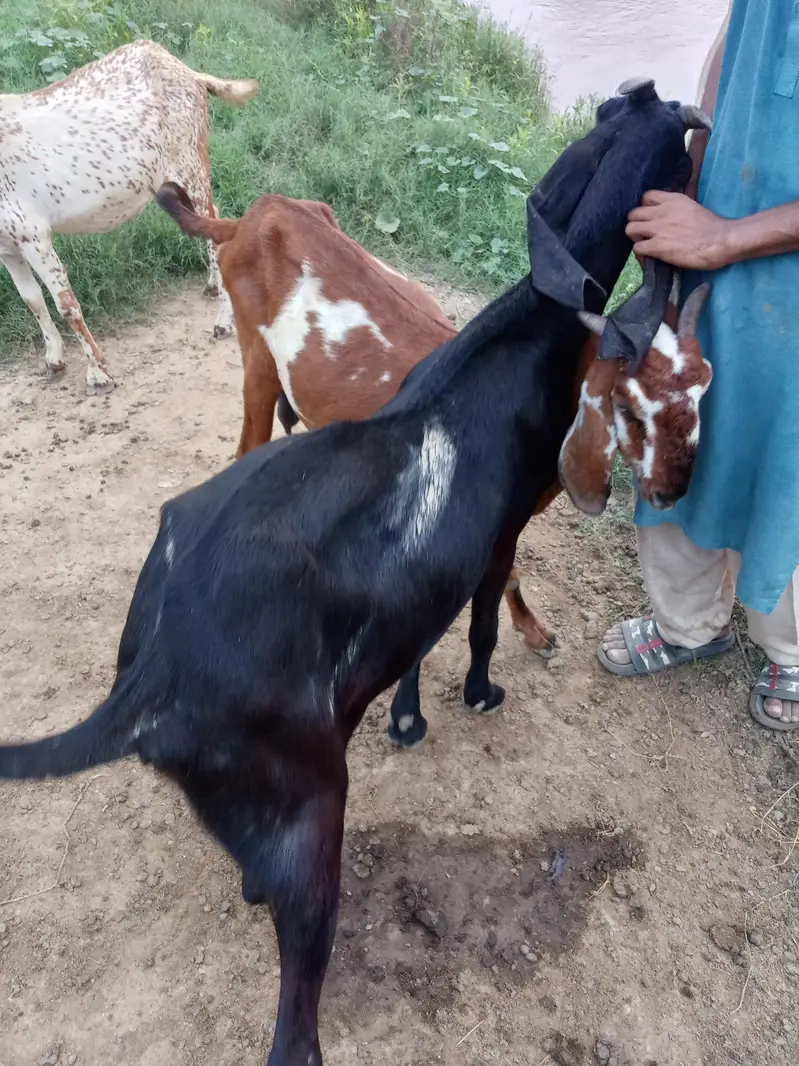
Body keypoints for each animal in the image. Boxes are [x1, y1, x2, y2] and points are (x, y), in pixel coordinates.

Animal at [0, 40, 258, 392]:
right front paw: (54, 360)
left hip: (191, 162)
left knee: (212, 225)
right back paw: (211, 285)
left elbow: (65, 304)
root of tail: (188, 72)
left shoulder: (32, 233)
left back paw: (222, 321)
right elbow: (33, 300)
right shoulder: (7, 245)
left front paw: (98, 372)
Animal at [0, 81, 708, 1066]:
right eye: (680, 144)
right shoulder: (495, 539)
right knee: (294, 1017)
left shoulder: (424, 579)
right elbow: (480, 622)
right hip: (309, 814)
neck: (512, 339)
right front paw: (479, 694)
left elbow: (419, 641)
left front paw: (407, 717)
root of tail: (150, 684)